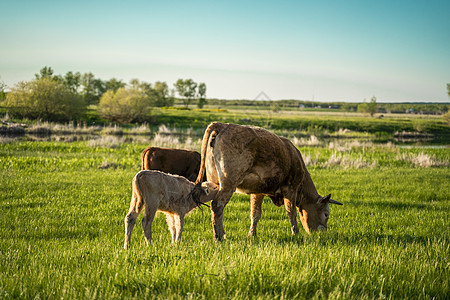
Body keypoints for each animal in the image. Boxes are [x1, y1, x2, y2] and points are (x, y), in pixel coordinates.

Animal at [195, 120, 342, 240]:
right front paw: (296, 233)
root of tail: (224, 125)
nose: (323, 233)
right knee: (217, 206)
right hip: (228, 183)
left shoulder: (257, 192)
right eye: (326, 214)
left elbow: (255, 214)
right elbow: (291, 212)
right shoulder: (291, 189)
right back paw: (219, 237)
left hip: (215, 183)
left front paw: (252, 234)